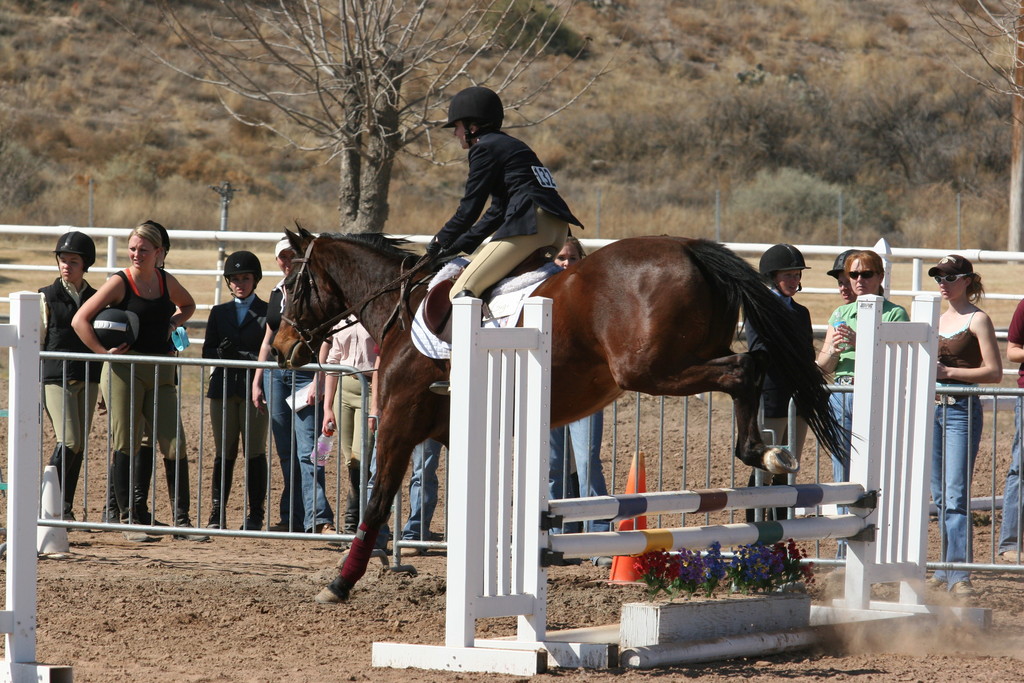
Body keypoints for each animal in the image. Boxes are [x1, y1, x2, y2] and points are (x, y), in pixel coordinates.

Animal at [270, 227, 839, 602]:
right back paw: (765, 453)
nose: (279, 349)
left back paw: (761, 450)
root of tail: (688, 248)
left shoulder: (398, 424)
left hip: (650, 369)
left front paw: (340, 582)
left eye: (293, 284)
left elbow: (376, 500)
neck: (399, 308)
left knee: (744, 369)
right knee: (754, 364)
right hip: (685, 356)